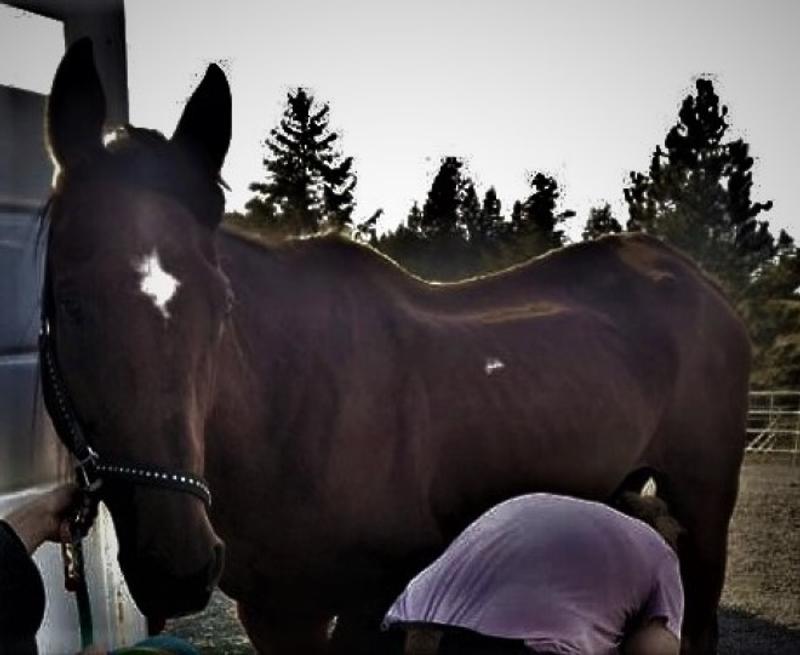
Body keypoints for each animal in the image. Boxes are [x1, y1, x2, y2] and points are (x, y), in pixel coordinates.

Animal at [42, 39, 750, 655]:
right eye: (68, 302)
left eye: (222, 308)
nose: (177, 566)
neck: (287, 415)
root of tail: (694, 277)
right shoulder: (273, 611)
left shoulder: (367, 602)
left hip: (704, 505)